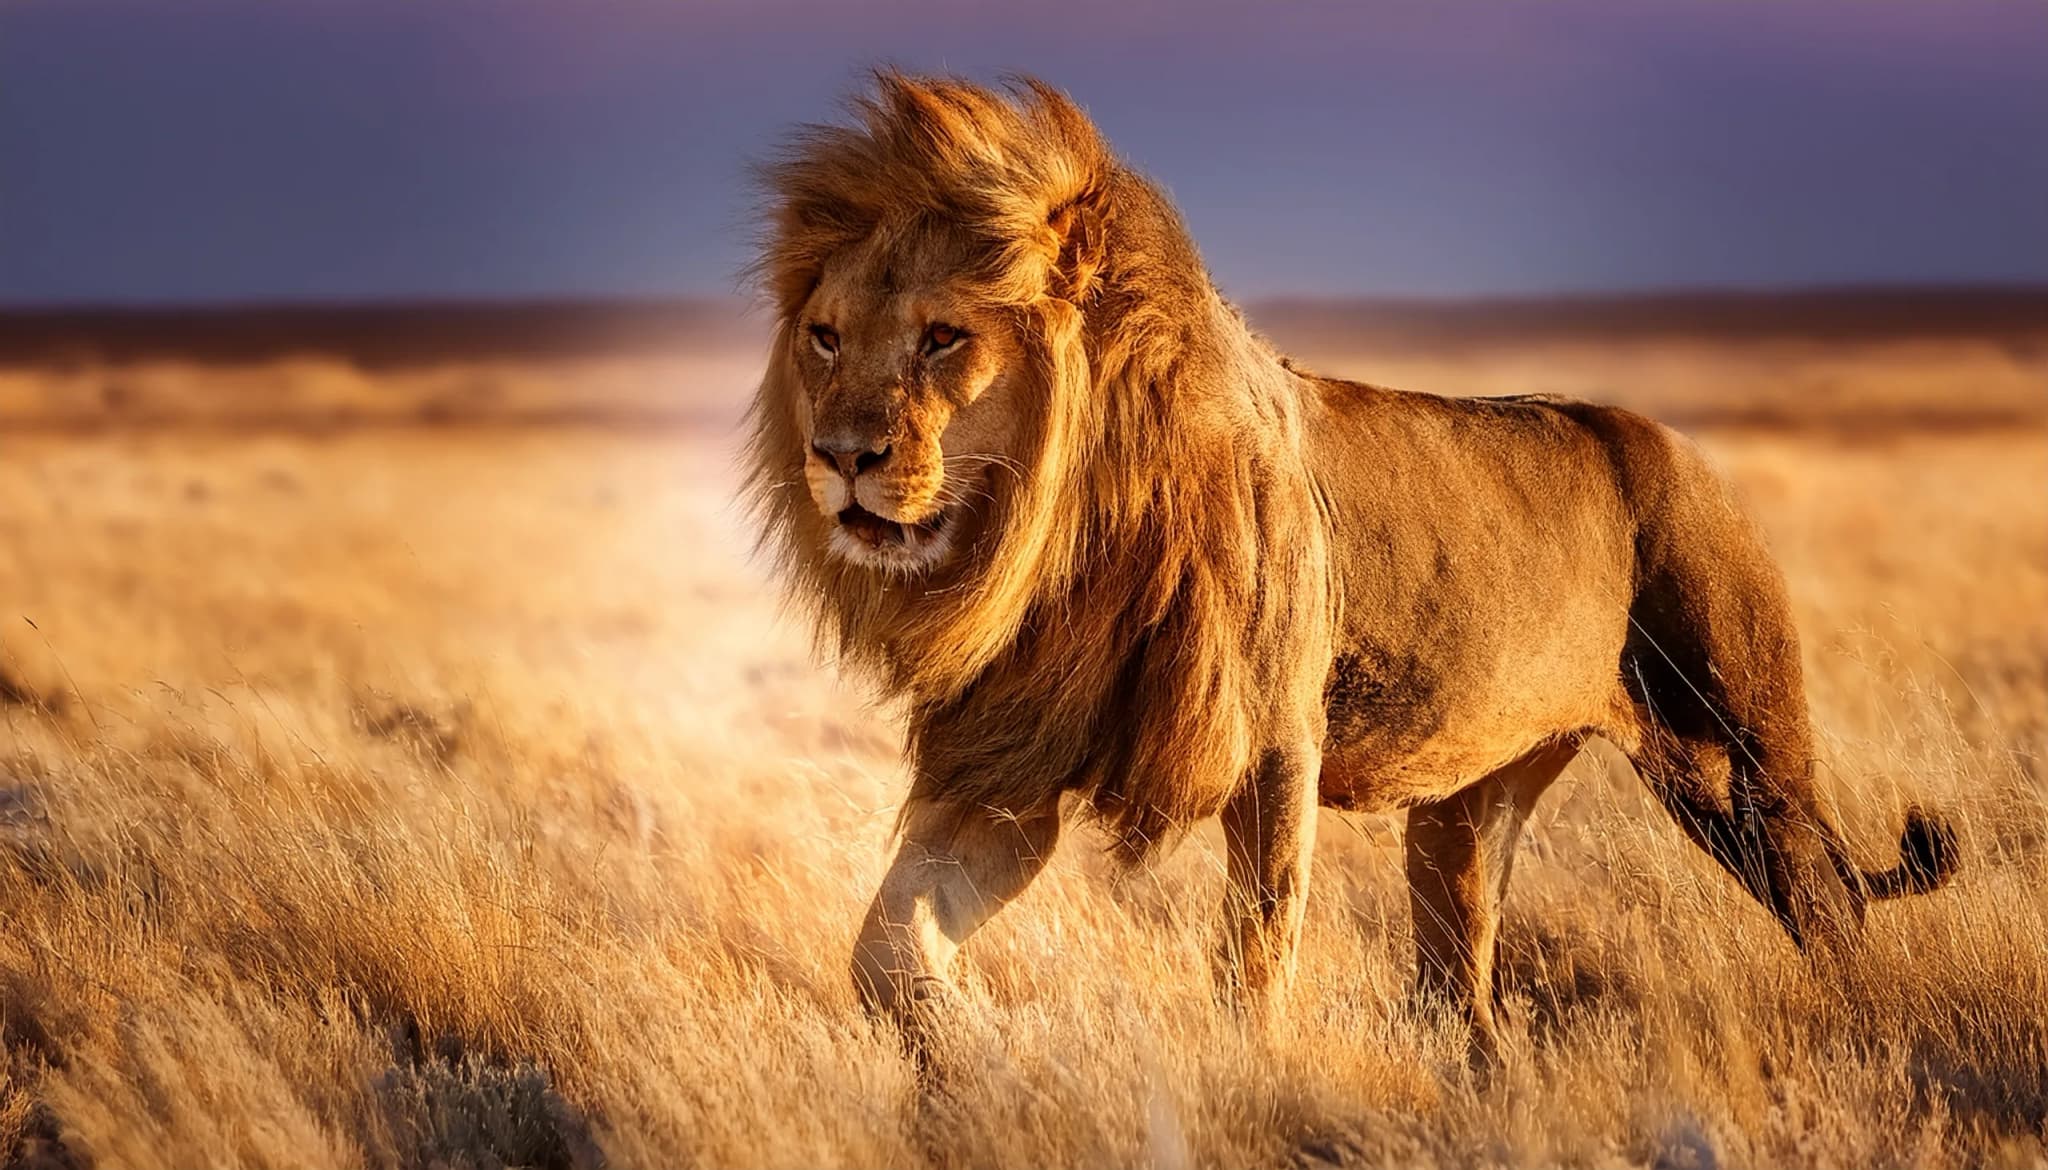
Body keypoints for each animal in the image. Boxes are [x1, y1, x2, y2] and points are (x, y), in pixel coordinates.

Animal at [745, 73, 1959, 1059]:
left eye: (943, 337)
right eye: (825, 337)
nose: (840, 457)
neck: (1043, 544)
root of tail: (1678, 448)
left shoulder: (1274, 739)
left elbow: (1255, 954)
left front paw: (1246, 1077)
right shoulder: (1010, 766)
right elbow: (886, 949)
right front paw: (981, 1051)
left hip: (1739, 761)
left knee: (1828, 905)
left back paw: (1868, 1035)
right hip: (1468, 811)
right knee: (1461, 989)